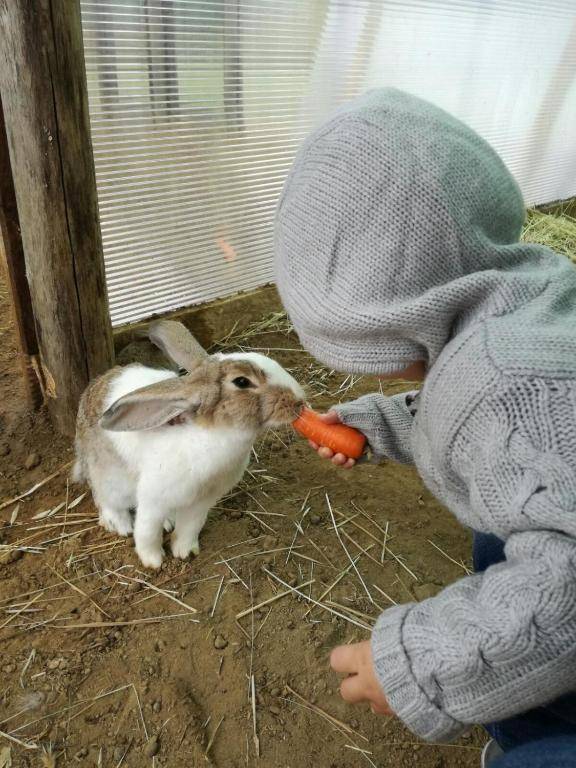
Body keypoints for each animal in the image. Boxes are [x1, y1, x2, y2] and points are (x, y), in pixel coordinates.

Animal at [73, 320, 306, 568]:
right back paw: (119, 523)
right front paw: (153, 561)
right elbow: (147, 532)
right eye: (242, 381)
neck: (216, 434)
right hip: (108, 477)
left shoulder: (202, 502)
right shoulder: (153, 499)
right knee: (105, 499)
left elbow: (190, 528)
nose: (300, 401)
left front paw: (185, 552)